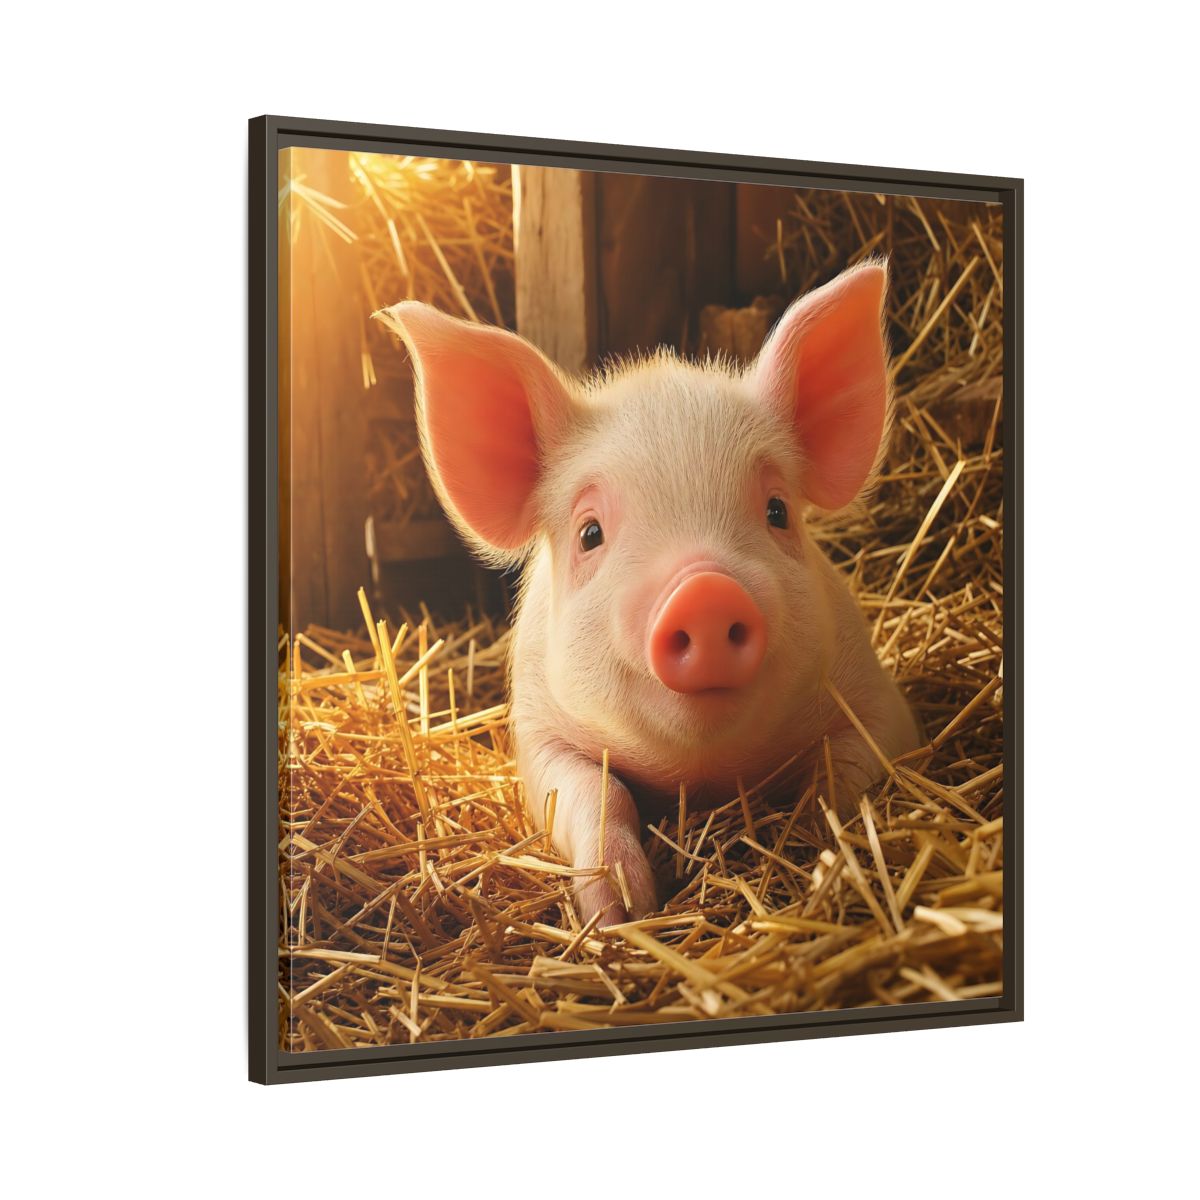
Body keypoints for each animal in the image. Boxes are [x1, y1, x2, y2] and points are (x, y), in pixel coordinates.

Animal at [376, 261, 920, 927]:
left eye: (778, 510)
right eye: (590, 533)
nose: (704, 591)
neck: (702, 775)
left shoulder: (877, 700)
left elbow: (843, 772)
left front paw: (821, 850)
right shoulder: (537, 731)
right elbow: (596, 792)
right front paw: (621, 914)